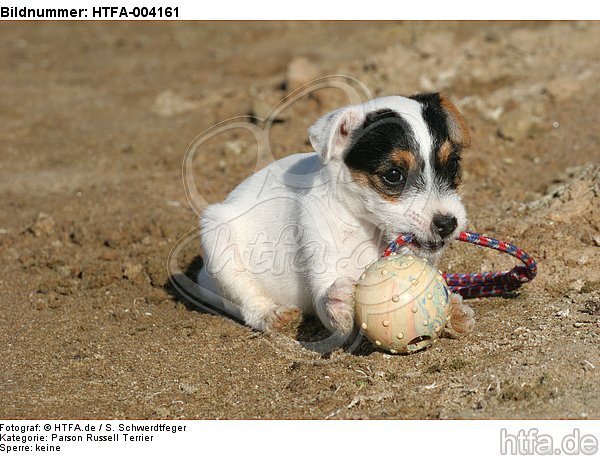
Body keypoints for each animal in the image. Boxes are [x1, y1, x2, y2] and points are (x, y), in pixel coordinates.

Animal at [197, 93, 474, 334]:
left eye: (453, 164)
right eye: (394, 175)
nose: (447, 223)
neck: (367, 228)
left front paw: (454, 308)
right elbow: (327, 304)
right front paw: (339, 300)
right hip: (217, 239)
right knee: (247, 301)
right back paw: (272, 315)